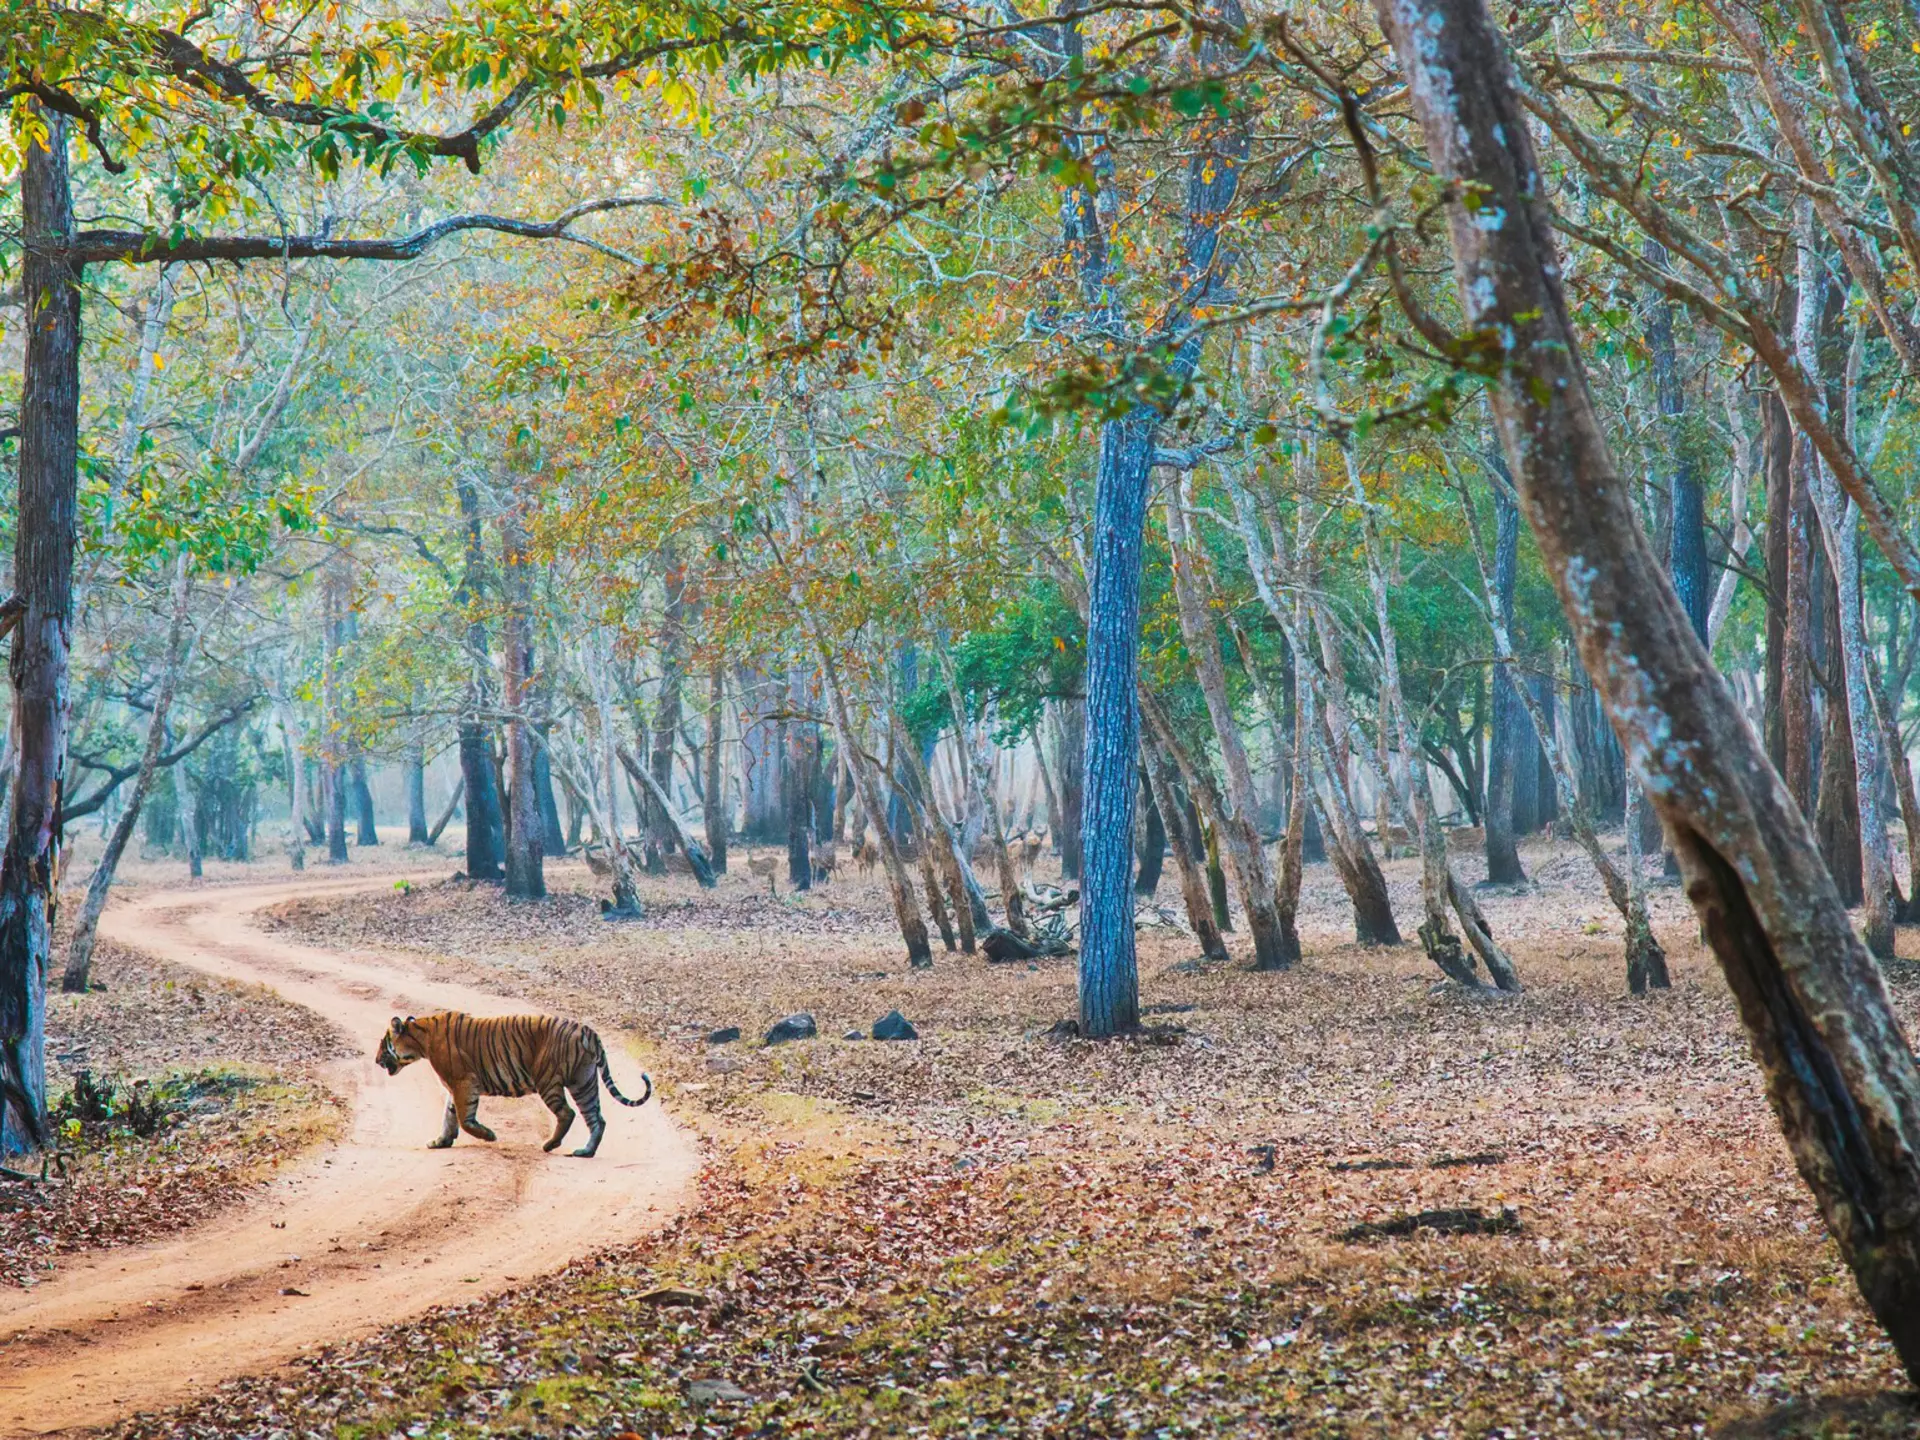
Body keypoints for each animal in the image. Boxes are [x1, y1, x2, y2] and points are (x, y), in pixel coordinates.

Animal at [374, 1011, 652, 1158]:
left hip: (549, 1080)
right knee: (596, 1118)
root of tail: (587, 1030)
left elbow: (464, 1118)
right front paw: (440, 1141)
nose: (376, 1060)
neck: (421, 1038)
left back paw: (550, 1145)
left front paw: (488, 1136)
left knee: (567, 1113)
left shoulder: (463, 1081)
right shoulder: (456, 1086)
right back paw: (586, 1151)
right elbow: (450, 1116)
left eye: (382, 1044)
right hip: (583, 1081)